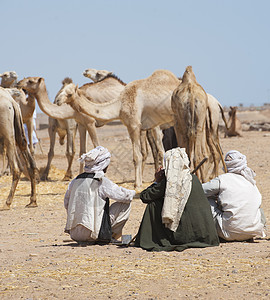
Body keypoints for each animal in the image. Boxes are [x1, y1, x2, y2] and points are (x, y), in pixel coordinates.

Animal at [53, 69, 181, 188]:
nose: (58, 101)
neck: (119, 105)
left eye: (69, 94)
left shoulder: (134, 125)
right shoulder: (133, 125)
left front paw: (137, 184)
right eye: (61, 90)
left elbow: (137, 156)